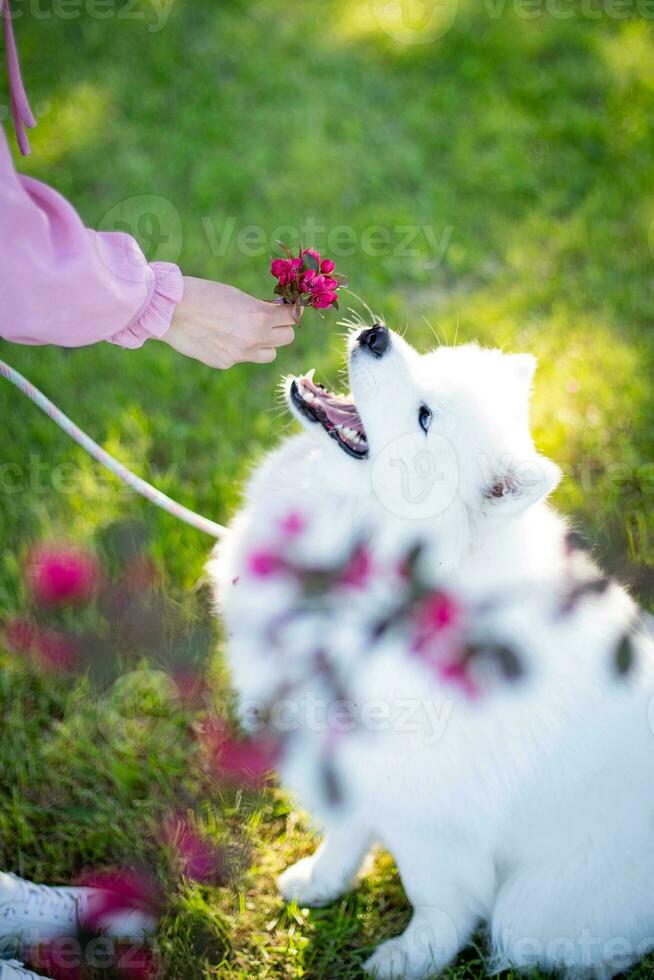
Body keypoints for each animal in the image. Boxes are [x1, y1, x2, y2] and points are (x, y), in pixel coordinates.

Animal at [213, 324, 654, 980]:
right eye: (426, 362)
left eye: (424, 419)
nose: (375, 335)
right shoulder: (347, 756)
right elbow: (347, 829)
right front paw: (321, 880)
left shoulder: (433, 810)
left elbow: (437, 897)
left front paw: (411, 957)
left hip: (537, 901)